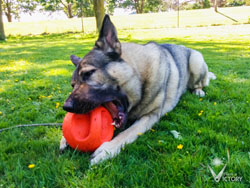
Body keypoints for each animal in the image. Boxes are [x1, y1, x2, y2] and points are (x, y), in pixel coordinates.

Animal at [59, 14, 216, 164]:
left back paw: (198, 90)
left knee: (200, 82)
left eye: (88, 73)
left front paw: (108, 149)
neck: (139, 79)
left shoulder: (151, 116)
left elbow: (128, 132)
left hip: (196, 61)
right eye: (73, 85)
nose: (66, 107)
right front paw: (64, 138)